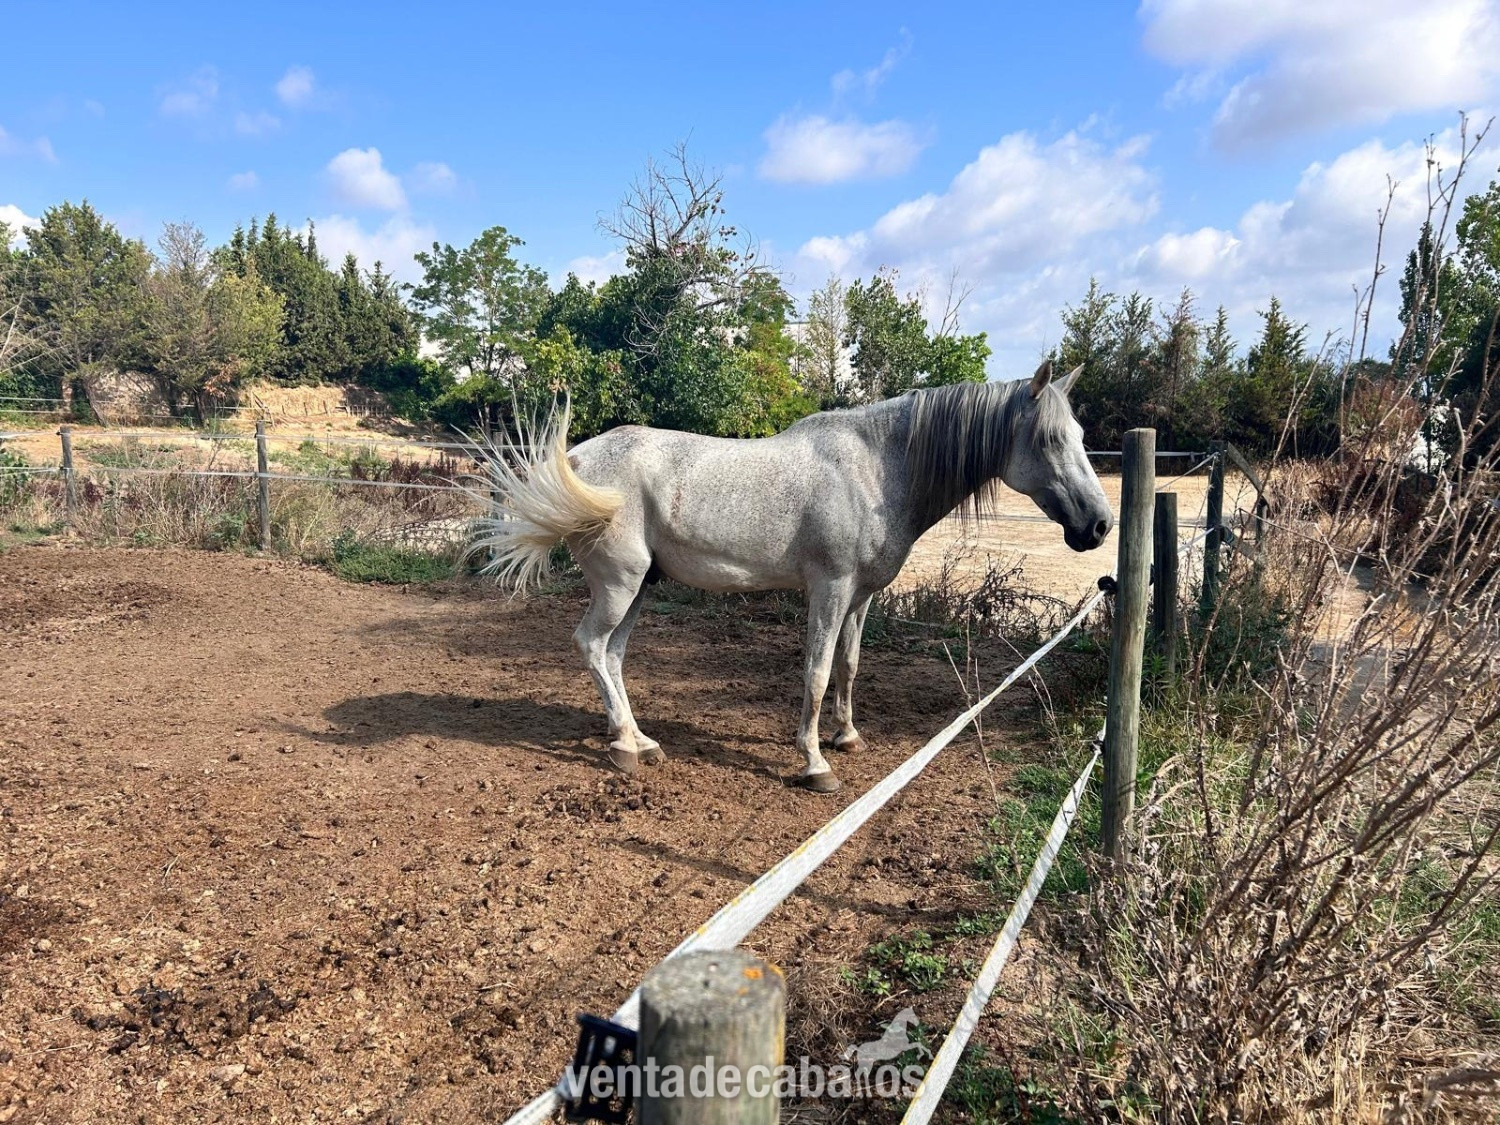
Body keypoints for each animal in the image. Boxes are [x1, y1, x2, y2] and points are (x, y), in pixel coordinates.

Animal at [471, 359, 1112, 793]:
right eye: (1049, 440)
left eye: (1082, 438)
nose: (1100, 525)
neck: (876, 470)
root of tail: (578, 459)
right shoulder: (829, 589)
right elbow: (818, 671)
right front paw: (814, 762)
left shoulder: (860, 597)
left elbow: (849, 666)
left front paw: (846, 737)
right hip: (619, 585)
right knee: (591, 645)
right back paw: (627, 747)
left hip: (639, 590)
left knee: (613, 656)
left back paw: (638, 739)